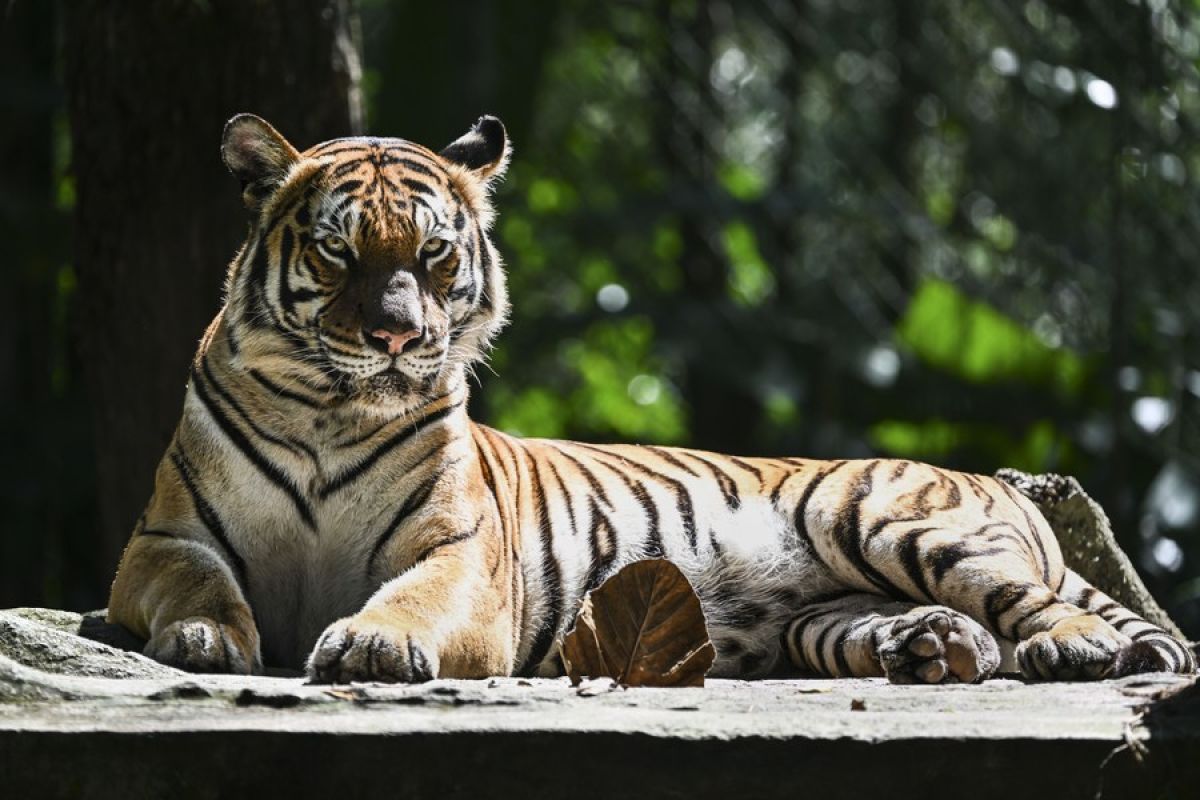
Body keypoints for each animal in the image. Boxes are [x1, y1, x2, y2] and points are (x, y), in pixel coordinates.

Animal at [108, 113, 1195, 690]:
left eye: (435, 253)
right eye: (339, 251)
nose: (396, 338)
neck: (334, 410)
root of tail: (998, 483)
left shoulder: (463, 557)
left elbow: (410, 594)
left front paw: (374, 639)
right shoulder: (163, 538)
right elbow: (196, 580)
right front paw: (205, 635)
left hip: (888, 516)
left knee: (1039, 605)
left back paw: (1073, 647)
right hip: (824, 612)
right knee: (952, 632)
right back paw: (932, 647)